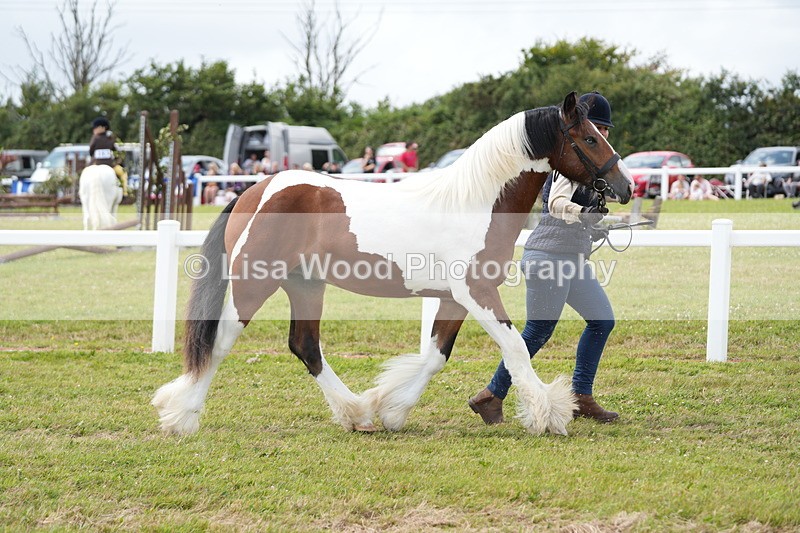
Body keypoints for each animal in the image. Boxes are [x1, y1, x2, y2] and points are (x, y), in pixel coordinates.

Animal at [152, 92, 634, 437]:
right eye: (590, 139)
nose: (625, 185)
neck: (475, 203)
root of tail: (253, 192)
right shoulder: (476, 292)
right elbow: (514, 346)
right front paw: (548, 414)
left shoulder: (454, 298)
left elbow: (436, 356)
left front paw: (392, 409)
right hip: (254, 284)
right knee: (219, 342)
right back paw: (182, 416)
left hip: (305, 285)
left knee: (305, 346)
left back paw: (357, 414)